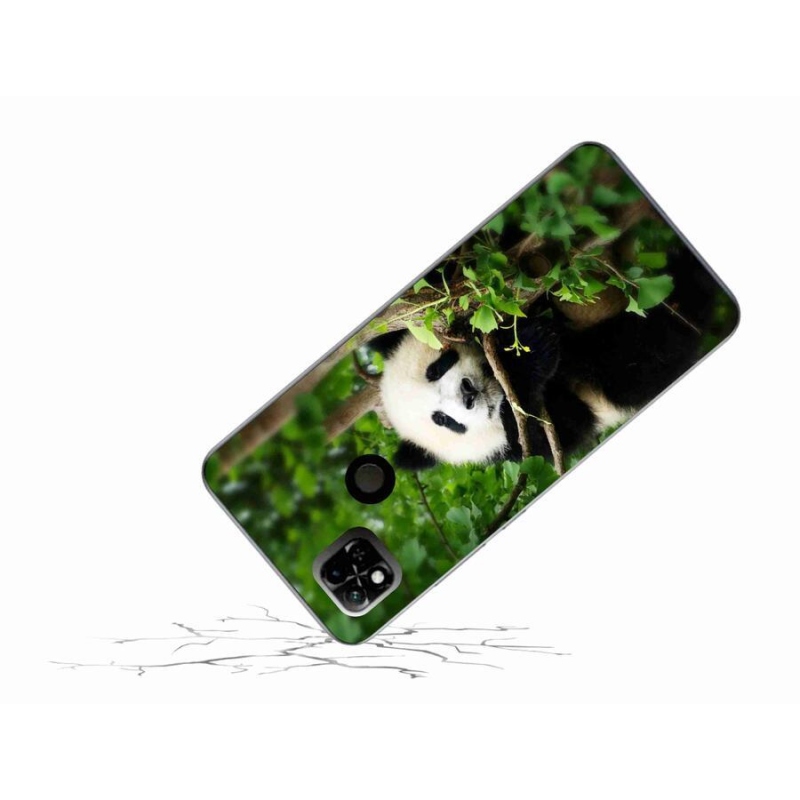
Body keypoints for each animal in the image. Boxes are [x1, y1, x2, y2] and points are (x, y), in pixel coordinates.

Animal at [371, 247, 717, 471]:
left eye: (436, 368)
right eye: (444, 420)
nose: (469, 394)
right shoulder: (517, 447)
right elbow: (553, 431)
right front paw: (527, 355)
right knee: (635, 362)